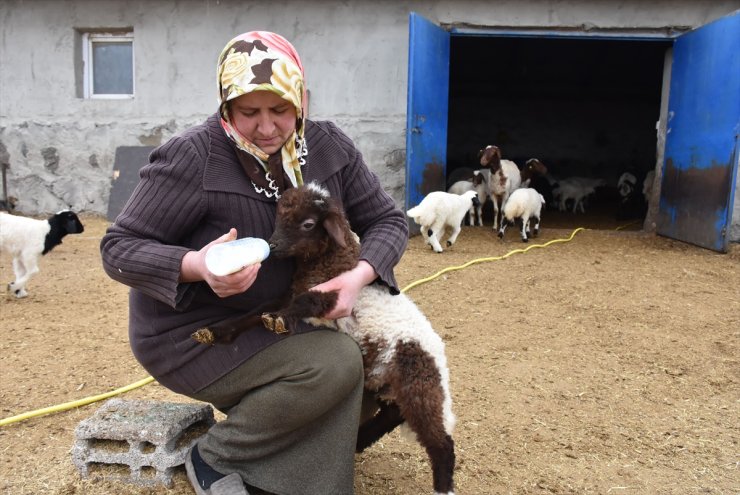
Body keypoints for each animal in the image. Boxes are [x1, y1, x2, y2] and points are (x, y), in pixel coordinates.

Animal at [192, 183, 456, 495]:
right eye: (279, 215)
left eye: (308, 224)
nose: (274, 245)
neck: (330, 260)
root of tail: (439, 360)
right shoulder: (288, 293)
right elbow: (256, 312)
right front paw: (218, 332)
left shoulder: (332, 295)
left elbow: (306, 301)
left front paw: (279, 320)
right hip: (388, 386)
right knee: (392, 415)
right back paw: (359, 442)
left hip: (419, 385)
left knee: (441, 442)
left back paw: (443, 487)